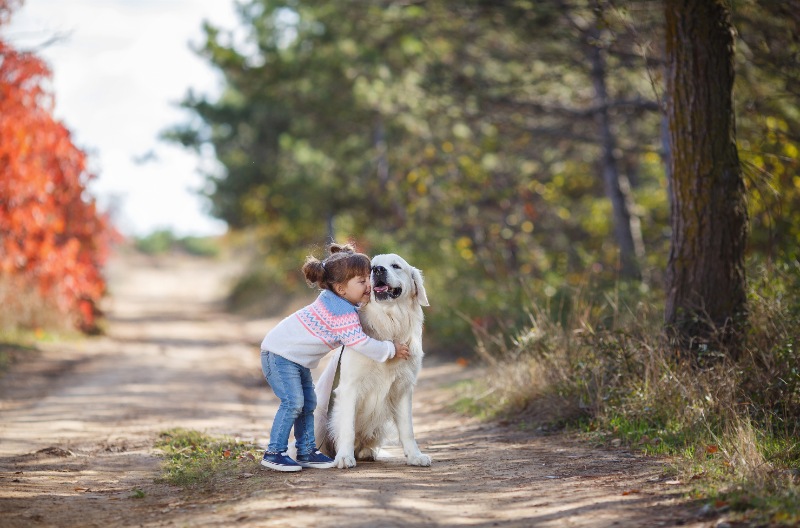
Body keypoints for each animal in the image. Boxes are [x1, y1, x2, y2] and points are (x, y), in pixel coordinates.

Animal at [316, 254, 434, 468]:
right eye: (371, 268)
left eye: (395, 265)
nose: (378, 270)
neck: (389, 322)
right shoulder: (349, 387)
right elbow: (347, 427)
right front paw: (344, 457)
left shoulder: (403, 387)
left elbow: (408, 429)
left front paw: (415, 456)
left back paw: (365, 452)